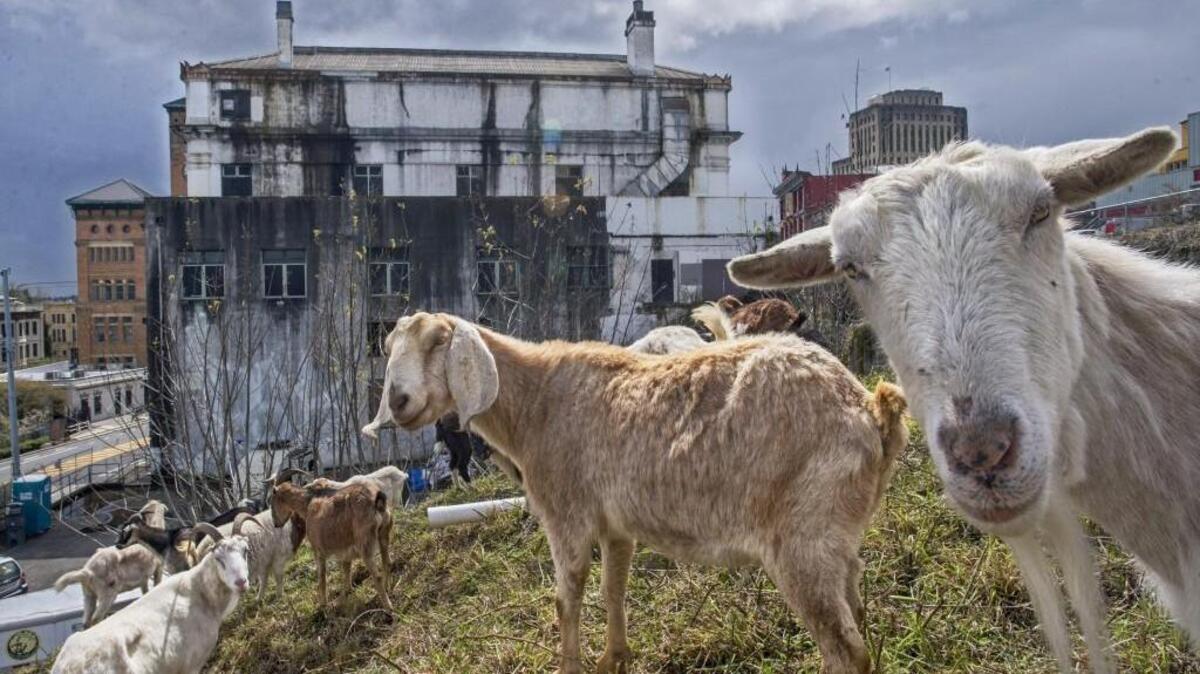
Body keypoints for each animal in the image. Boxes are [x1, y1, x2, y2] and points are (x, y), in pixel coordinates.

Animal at [51, 523, 249, 674]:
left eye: (245, 551)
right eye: (218, 558)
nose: (241, 582)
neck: (200, 591)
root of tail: (66, 666)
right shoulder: (192, 664)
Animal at [266, 468, 393, 610]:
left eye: (272, 501)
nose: (276, 523)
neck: (307, 503)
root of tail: (376, 501)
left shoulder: (318, 550)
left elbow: (322, 577)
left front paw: (323, 605)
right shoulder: (346, 550)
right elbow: (346, 571)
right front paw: (343, 597)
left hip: (365, 545)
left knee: (377, 575)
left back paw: (388, 607)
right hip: (384, 535)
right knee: (387, 563)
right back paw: (387, 589)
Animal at [363, 312, 908, 674]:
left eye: (438, 343)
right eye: (390, 347)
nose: (400, 401)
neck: (537, 402)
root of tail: (870, 411)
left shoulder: (567, 512)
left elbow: (567, 595)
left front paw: (571, 665)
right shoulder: (615, 526)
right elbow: (613, 588)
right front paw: (614, 657)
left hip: (802, 535)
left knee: (844, 647)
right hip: (836, 535)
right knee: (855, 615)